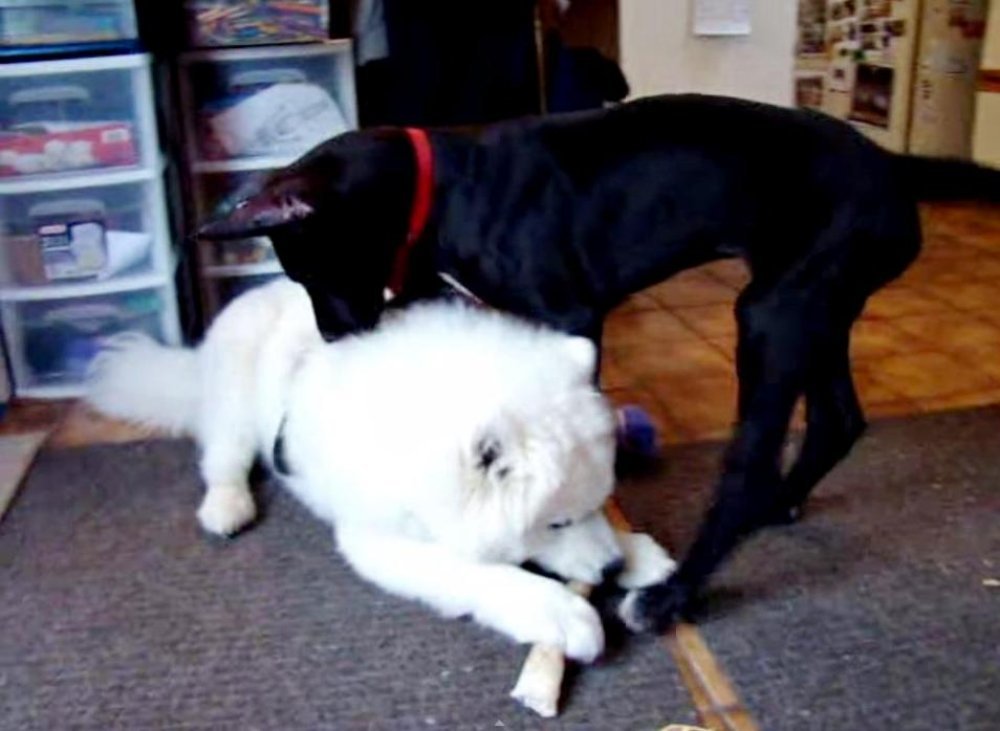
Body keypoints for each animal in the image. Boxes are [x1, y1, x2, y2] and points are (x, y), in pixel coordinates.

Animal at [86, 278, 675, 660]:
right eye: (555, 523)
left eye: (601, 500)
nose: (609, 570)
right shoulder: (377, 538)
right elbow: (479, 571)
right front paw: (560, 613)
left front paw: (636, 551)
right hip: (233, 405)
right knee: (222, 458)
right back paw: (227, 507)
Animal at [197, 93, 1000, 629]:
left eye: (307, 266)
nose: (335, 337)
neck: (444, 185)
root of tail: (893, 165)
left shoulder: (567, 311)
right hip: (819, 303)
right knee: (838, 419)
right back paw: (782, 501)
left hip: (777, 310)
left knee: (749, 464)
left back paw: (674, 595)